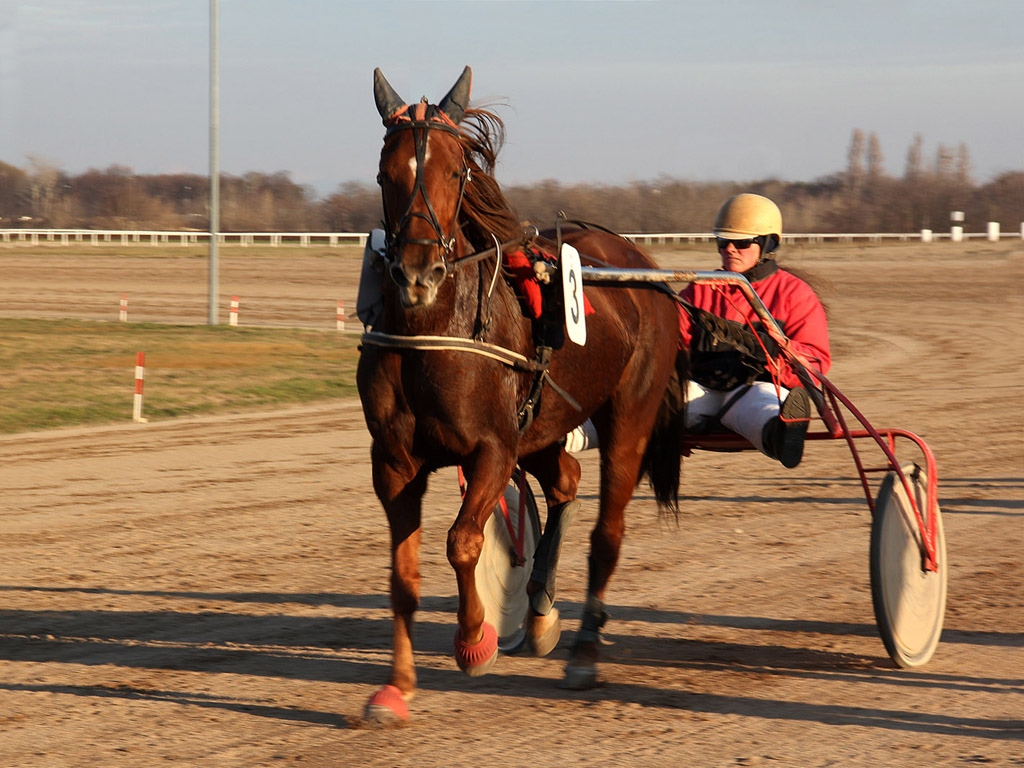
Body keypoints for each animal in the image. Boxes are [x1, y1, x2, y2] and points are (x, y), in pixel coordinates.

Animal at [360, 67, 688, 729]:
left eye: (456, 171)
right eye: (388, 171)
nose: (417, 273)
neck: (434, 332)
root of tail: (640, 263)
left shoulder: (491, 449)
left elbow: (462, 542)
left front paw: (475, 640)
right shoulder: (395, 464)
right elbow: (403, 576)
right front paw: (397, 686)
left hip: (628, 416)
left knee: (606, 533)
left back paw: (583, 653)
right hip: (543, 424)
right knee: (564, 480)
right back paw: (539, 613)